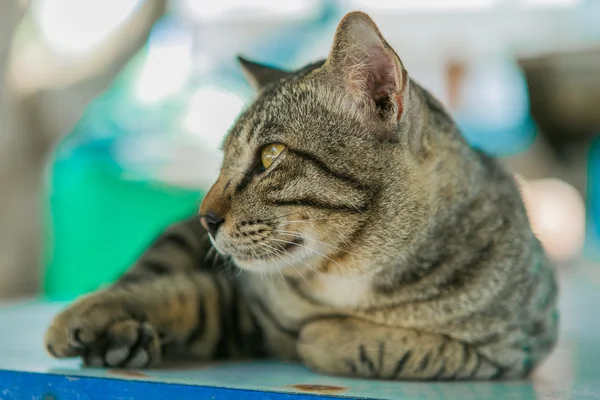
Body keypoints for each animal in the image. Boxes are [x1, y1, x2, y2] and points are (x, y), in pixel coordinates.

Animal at [45, 11, 556, 382]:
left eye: (270, 155)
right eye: (223, 157)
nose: (205, 217)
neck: (354, 275)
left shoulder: (512, 348)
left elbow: (398, 347)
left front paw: (325, 335)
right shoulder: (248, 301)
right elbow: (183, 291)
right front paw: (89, 312)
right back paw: (122, 336)